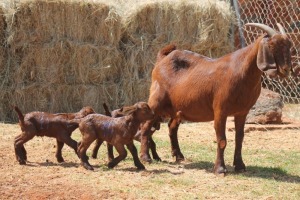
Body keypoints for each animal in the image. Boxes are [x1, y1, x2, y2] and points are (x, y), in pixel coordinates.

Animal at [139, 22, 292, 174]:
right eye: (272, 45)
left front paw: (240, 166)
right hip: (156, 102)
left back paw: (178, 156)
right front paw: (220, 168)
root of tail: (162, 59)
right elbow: (222, 140)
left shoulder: (242, 112)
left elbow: (239, 138)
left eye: (289, 45)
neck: (242, 72)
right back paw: (146, 158)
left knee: (171, 127)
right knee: (146, 127)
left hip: (177, 109)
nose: (286, 69)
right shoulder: (220, 110)